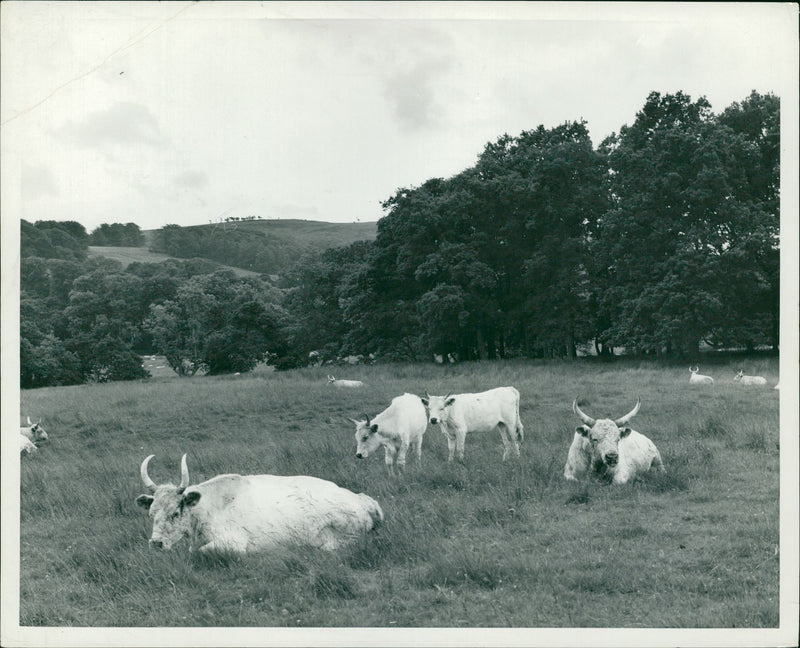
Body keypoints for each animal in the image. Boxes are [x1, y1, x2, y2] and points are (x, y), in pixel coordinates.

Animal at [135, 454, 384, 556]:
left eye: (175, 512)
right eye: (151, 514)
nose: (156, 544)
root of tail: (362, 499)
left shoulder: (233, 543)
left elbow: (201, 553)